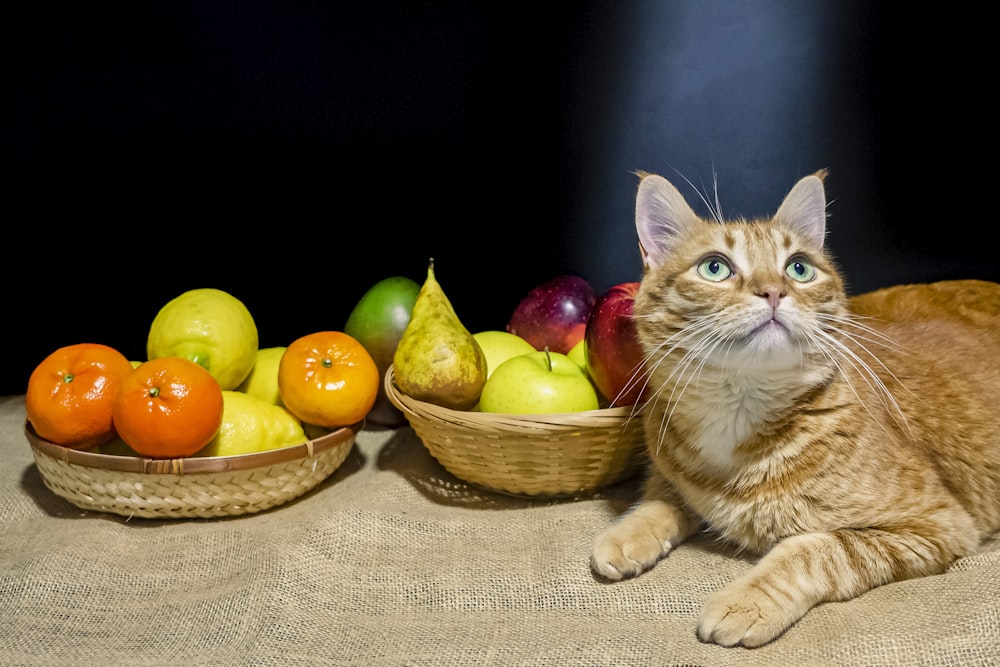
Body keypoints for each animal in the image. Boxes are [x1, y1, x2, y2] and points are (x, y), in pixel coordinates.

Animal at [584, 170, 1000, 648]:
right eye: (714, 267)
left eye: (798, 267)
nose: (773, 290)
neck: (738, 421)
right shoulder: (671, 468)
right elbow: (660, 494)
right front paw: (627, 533)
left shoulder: (937, 524)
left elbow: (814, 549)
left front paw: (747, 600)